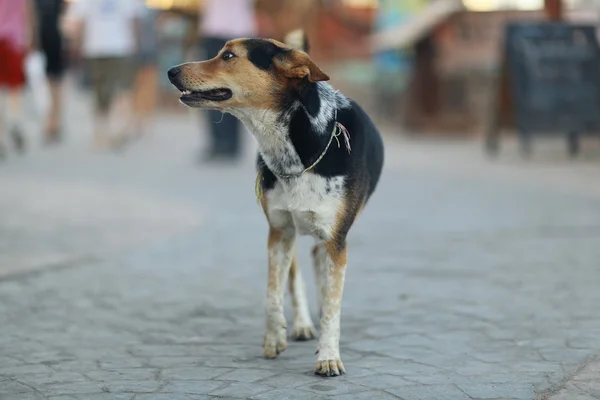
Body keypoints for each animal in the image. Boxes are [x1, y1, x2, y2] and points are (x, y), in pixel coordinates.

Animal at [169, 32, 384, 378]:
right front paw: (274, 338)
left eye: (229, 56)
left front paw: (328, 356)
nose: (171, 71)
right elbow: (273, 292)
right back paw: (301, 324)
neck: (294, 153)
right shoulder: (279, 231)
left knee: (320, 265)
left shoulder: (336, 239)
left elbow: (333, 306)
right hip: (291, 231)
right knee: (296, 273)